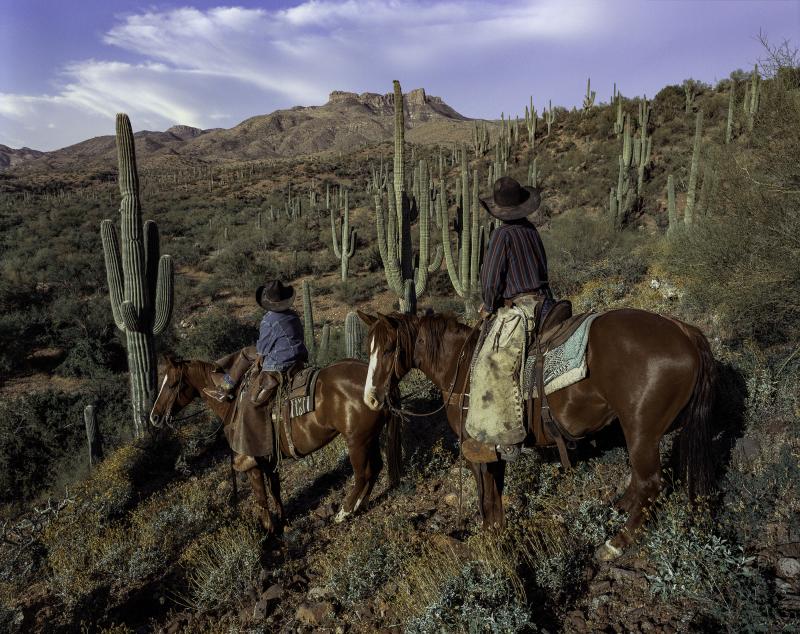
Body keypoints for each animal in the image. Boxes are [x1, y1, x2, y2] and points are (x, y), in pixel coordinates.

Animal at [149, 356, 400, 532]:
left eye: (171, 384)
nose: (154, 417)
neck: (231, 404)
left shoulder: (252, 464)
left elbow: (261, 497)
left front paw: (269, 531)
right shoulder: (269, 460)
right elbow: (276, 490)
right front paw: (283, 521)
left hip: (356, 441)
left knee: (362, 474)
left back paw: (344, 513)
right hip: (369, 438)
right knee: (375, 468)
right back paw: (359, 505)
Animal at [356, 308, 712, 560]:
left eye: (388, 349)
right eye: (367, 350)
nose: (371, 399)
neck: (460, 368)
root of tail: (684, 331)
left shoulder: (478, 451)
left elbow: (486, 496)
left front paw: (489, 539)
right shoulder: (495, 452)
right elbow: (496, 493)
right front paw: (498, 533)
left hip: (641, 431)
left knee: (650, 482)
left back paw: (616, 543)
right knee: (640, 480)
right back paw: (620, 506)